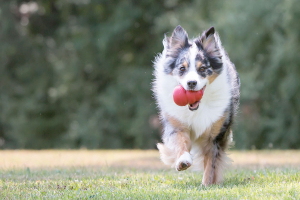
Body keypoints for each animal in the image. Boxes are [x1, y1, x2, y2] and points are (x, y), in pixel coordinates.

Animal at [152, 25, 239, 185]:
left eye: (202, 69)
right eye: (182, 68)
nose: (191, 83)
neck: (196, 108)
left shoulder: (214, 135)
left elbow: (211, 163)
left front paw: (206, 184)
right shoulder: (177, 125)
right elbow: (181, 142)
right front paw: (183, 161)